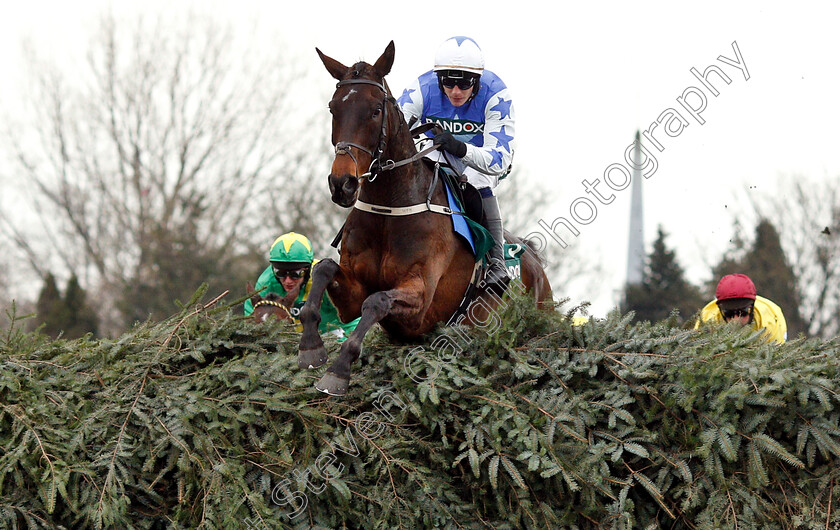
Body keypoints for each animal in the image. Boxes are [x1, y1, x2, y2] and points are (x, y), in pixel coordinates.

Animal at [298, 41, 556, 394]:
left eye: (375, 110)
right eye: (333, 109)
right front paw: (310, 346)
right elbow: (324, 269)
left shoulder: (420, 302)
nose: (343, 184)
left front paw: (338, 370)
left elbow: (377, 301)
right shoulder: (351, 294)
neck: (390, 210)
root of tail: (534, 262)